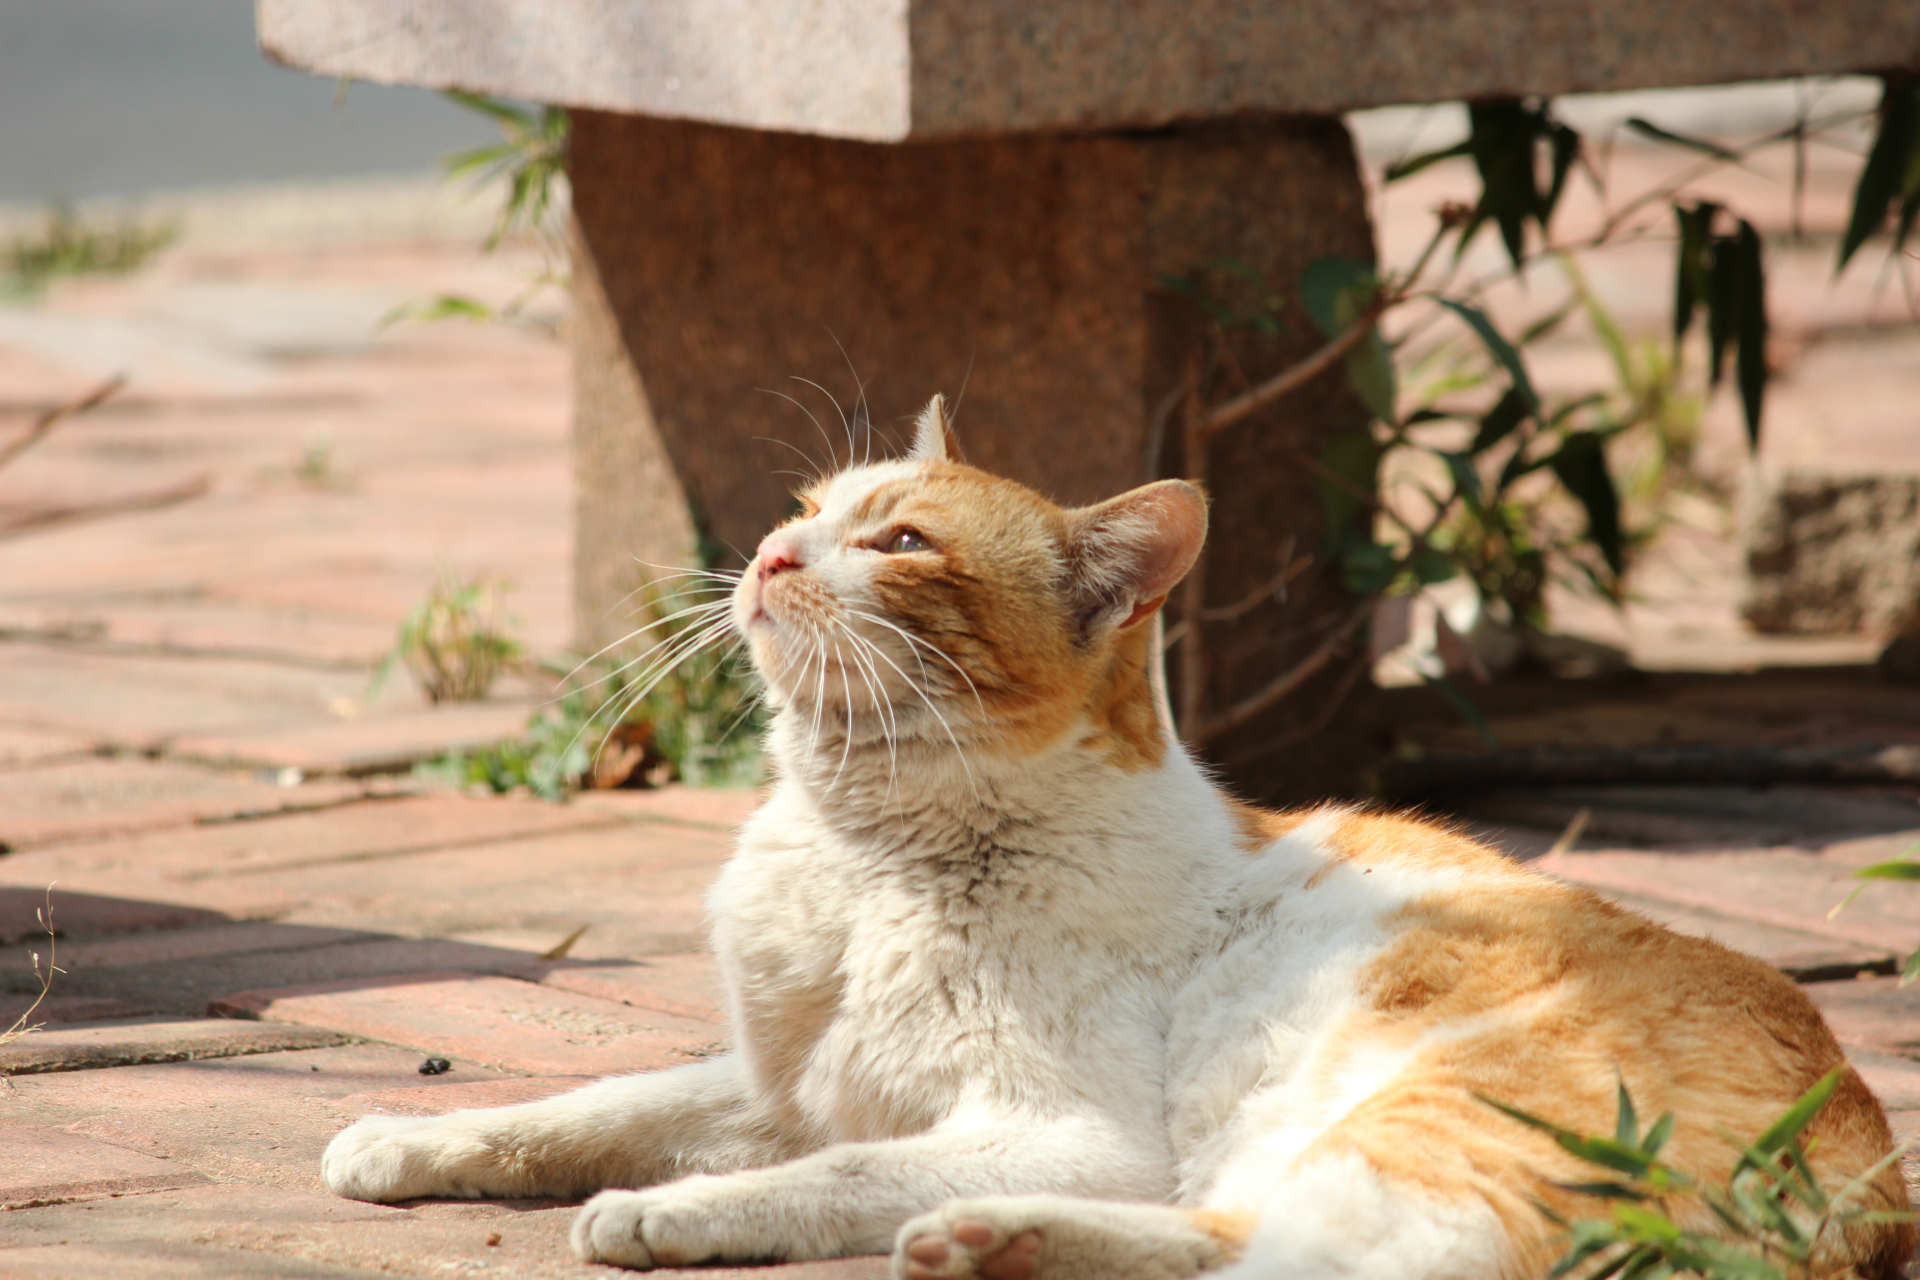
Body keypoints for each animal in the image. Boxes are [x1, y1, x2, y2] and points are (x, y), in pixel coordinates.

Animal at [322, 401, 1912, 1280]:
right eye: (806, 511)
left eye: (899, 543)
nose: (768, 556)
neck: (862, 858)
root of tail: (1871, 1186)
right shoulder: (784, 1085)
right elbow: (588, 1110)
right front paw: (410, 1140)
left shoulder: (1058, 1129)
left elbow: (815, 1178)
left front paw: (665, 1214)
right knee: (1234, 1243)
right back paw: (989, 1247)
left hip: (1410, 1130)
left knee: (1305, 1268)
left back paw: (986, 1238)